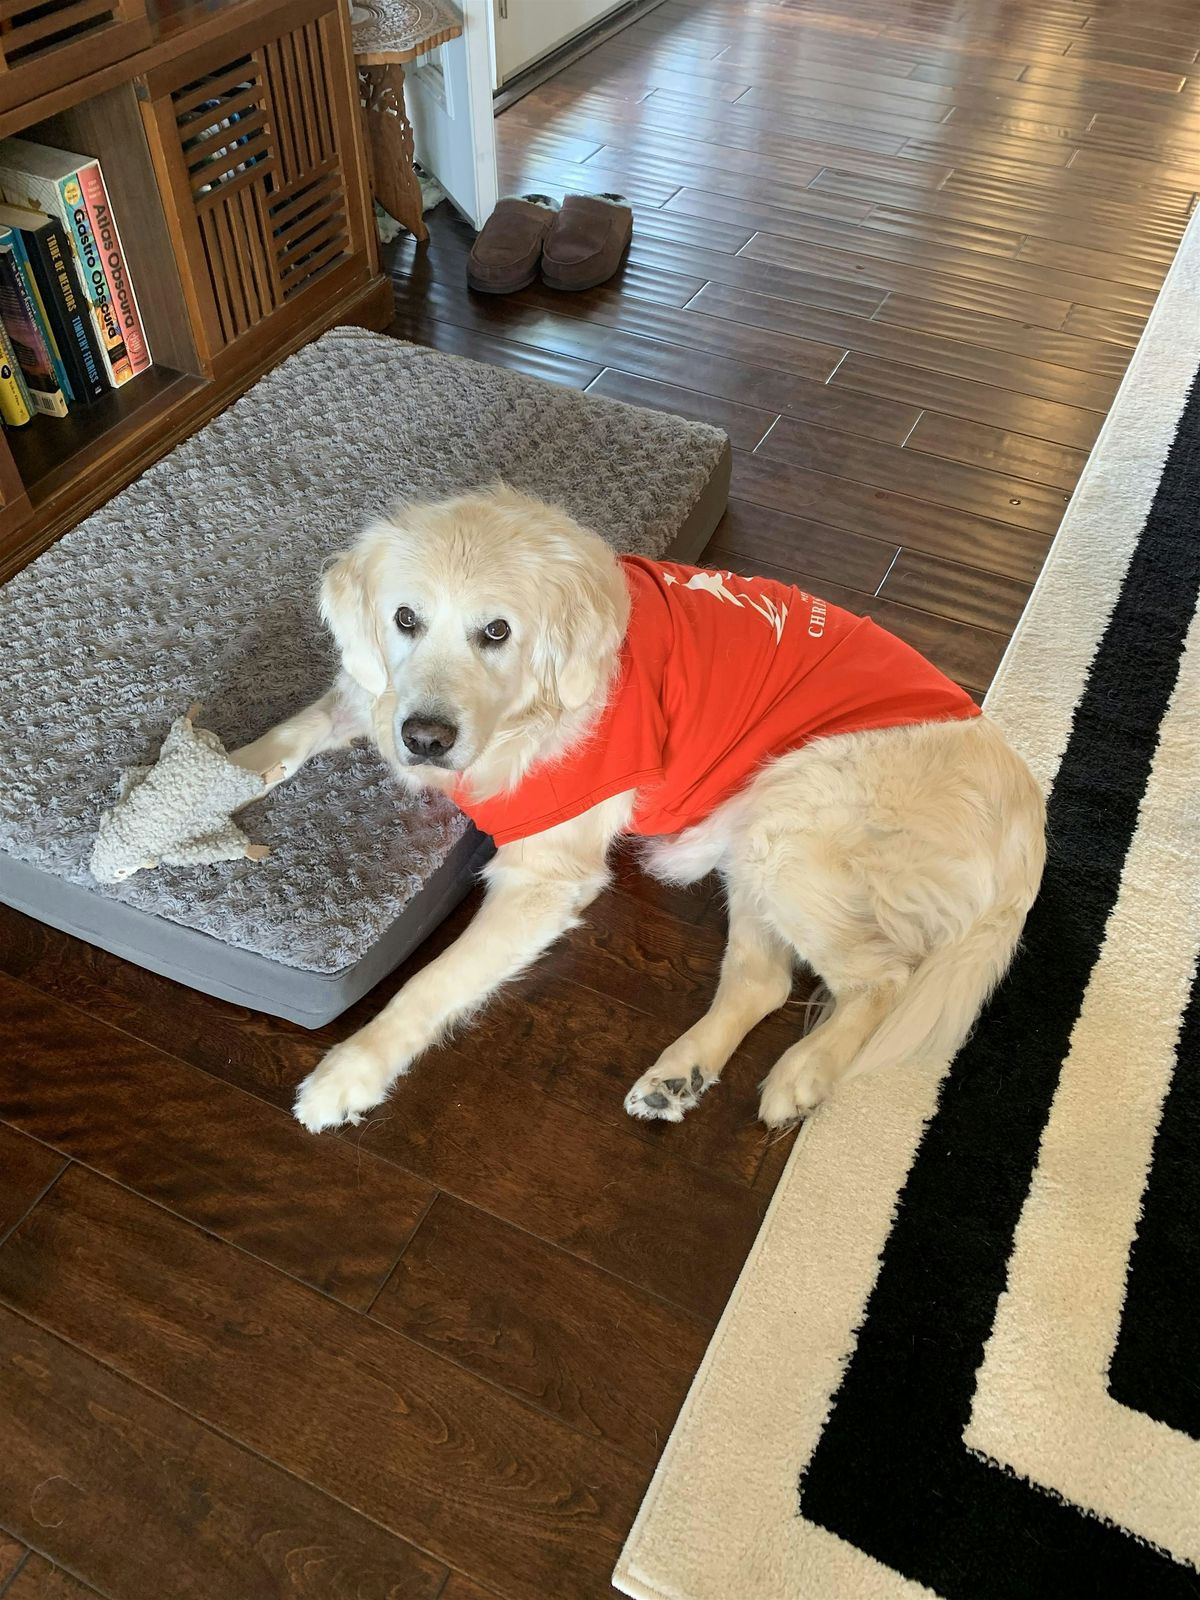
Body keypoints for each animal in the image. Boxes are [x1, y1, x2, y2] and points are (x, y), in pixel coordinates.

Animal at [231, 486, 1046, 1135]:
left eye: (496, 631)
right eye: (404, 619)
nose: (425, 739)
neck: (527, 719)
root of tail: (1030, 820)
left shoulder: (545, 877)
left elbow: (428, 982)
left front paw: (349, 1072)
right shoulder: (377, 697)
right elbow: (305, 726)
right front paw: (225, 770)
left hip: (791, 812)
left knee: (883, 979)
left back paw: (802, 1073)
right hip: (754, 831)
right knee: (765, 982)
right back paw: (678, 1075)